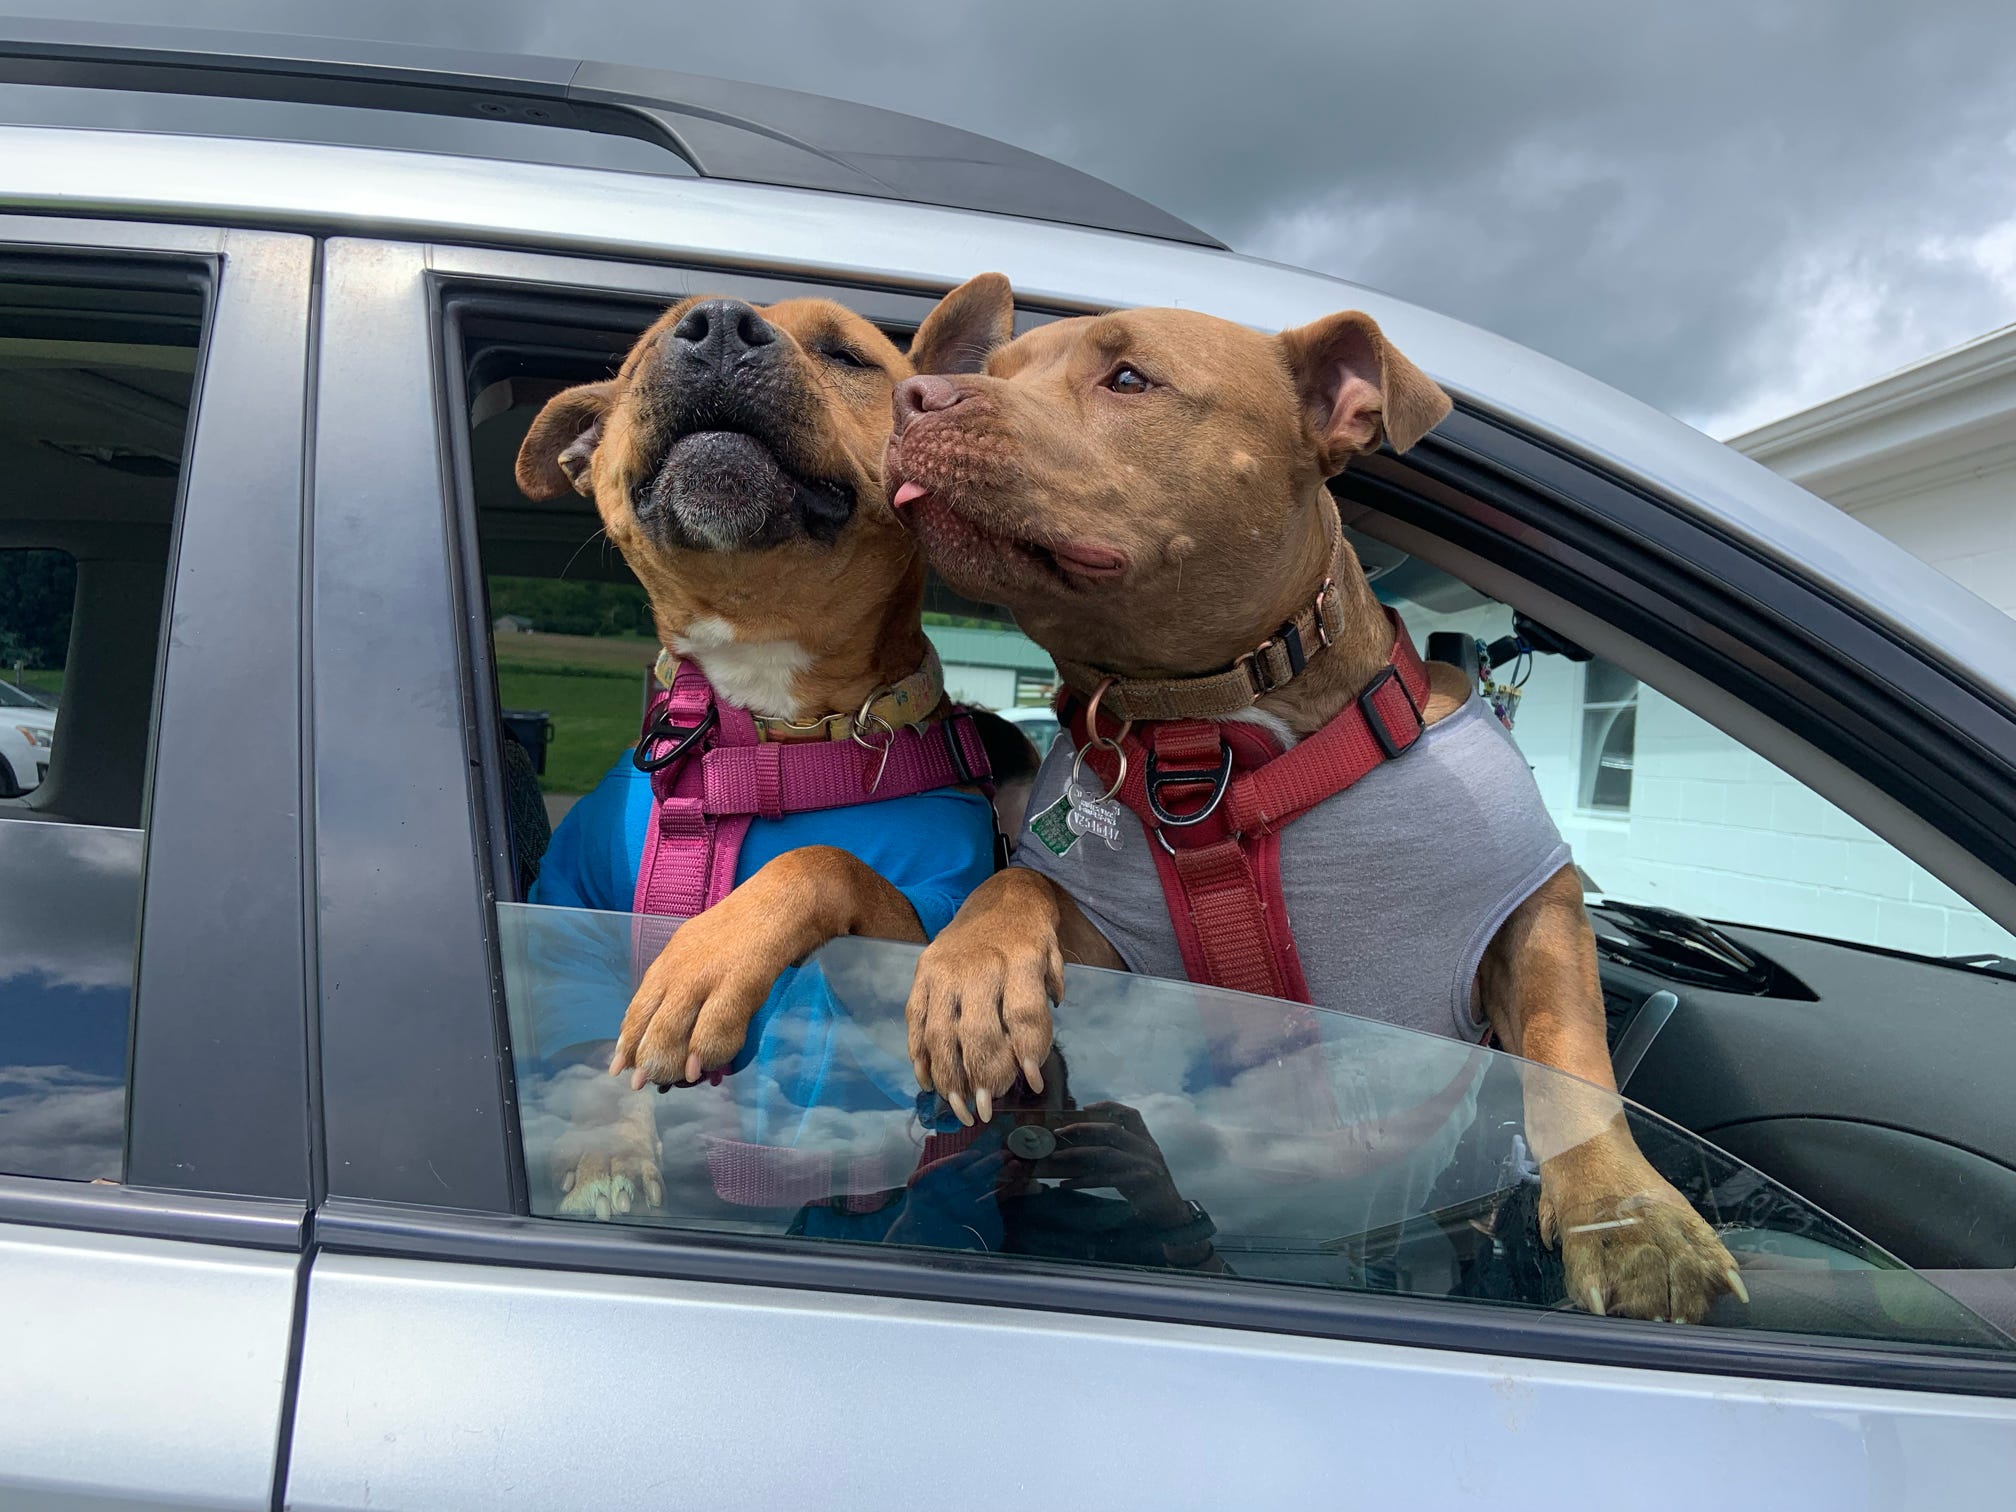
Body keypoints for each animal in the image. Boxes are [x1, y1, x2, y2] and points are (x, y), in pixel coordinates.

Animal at [883, 302, 1749, 1322]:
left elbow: (1569, 1052)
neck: (1208, 732)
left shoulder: (1533, 905)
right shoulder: (1116, 939)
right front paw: (970, 975)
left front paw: (1629, 1215)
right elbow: (1019, 885)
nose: (914, 394)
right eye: (998, 369)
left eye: (1129, 379)